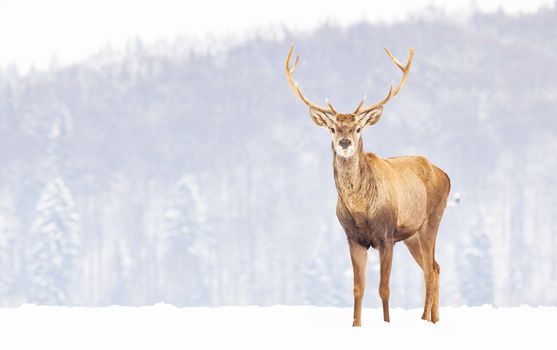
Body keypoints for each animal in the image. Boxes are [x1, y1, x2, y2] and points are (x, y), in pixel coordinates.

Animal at [284, 45, 450, 326]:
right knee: (435, 267)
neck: (361, 210)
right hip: (411, 235)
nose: (345, 142)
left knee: (430, 270)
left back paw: (424, 319)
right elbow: (357, 288)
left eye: (358, 128)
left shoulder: (386, 236)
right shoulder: (353, 238)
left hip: (431, 220)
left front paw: (386, 323)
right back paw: (434, 319)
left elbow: (384, 288)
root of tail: (446, 175)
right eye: (332, 128)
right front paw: (356, 324)